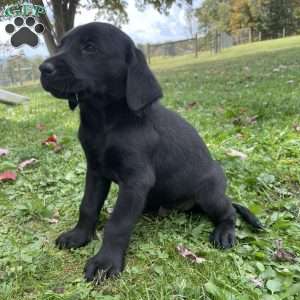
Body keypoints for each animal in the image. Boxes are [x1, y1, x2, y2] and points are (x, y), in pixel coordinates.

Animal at [39, 22, 260, 282]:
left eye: (90, 47)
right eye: (61, 45)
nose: (43, 68)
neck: (105, 123)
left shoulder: (136, 180)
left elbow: (118, 223)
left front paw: (105, 262)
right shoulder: (95, 171)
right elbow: (88, 206)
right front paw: (79, 236)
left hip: (210, 194)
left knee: (229, 211)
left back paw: (224, 232)